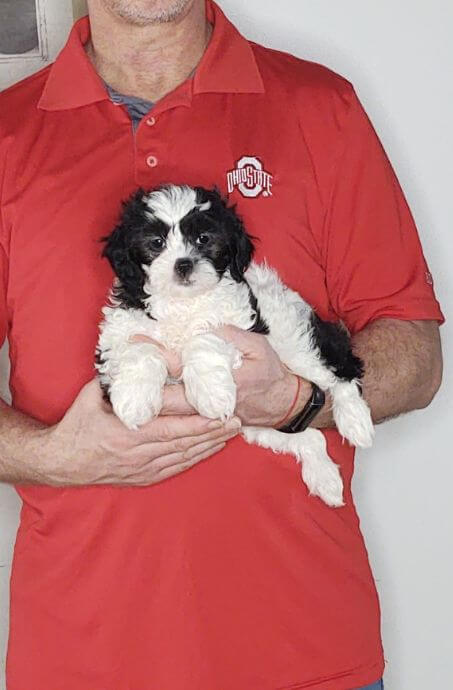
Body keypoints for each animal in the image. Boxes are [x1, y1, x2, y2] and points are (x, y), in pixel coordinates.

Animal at [94, 183, 370, 506]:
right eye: (156, 242)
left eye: (204, 239)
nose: (184, 264)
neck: (181, 304)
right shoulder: (118, 334)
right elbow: (139, 348)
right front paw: (134, 400)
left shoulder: (241, 326)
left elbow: (204, 339)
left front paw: (210, 393)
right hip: (259, 423)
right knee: (309, 436)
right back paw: (325, 479)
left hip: (296, 341)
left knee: (342, 369)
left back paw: (355, 421)